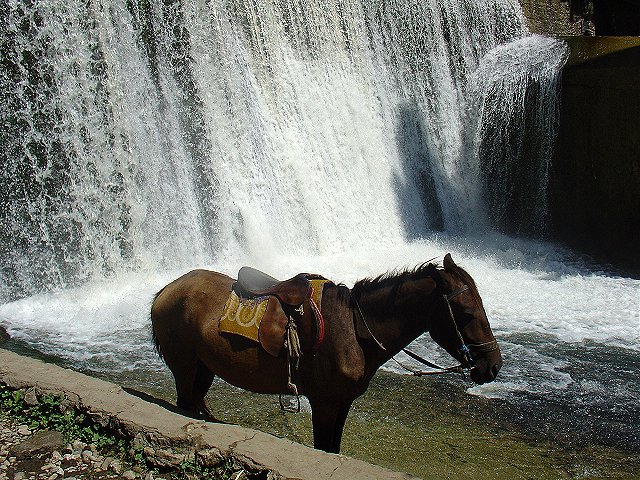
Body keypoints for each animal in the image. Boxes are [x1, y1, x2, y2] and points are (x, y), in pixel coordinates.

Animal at [150, 253, 500, 452]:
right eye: (467, 312)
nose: (493, 365)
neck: (354, 329)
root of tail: (167, 288)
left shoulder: (342, 403)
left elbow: (333, 448)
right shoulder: (324, 404)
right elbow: (322, 447)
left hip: (204, 368)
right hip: (185, 368)